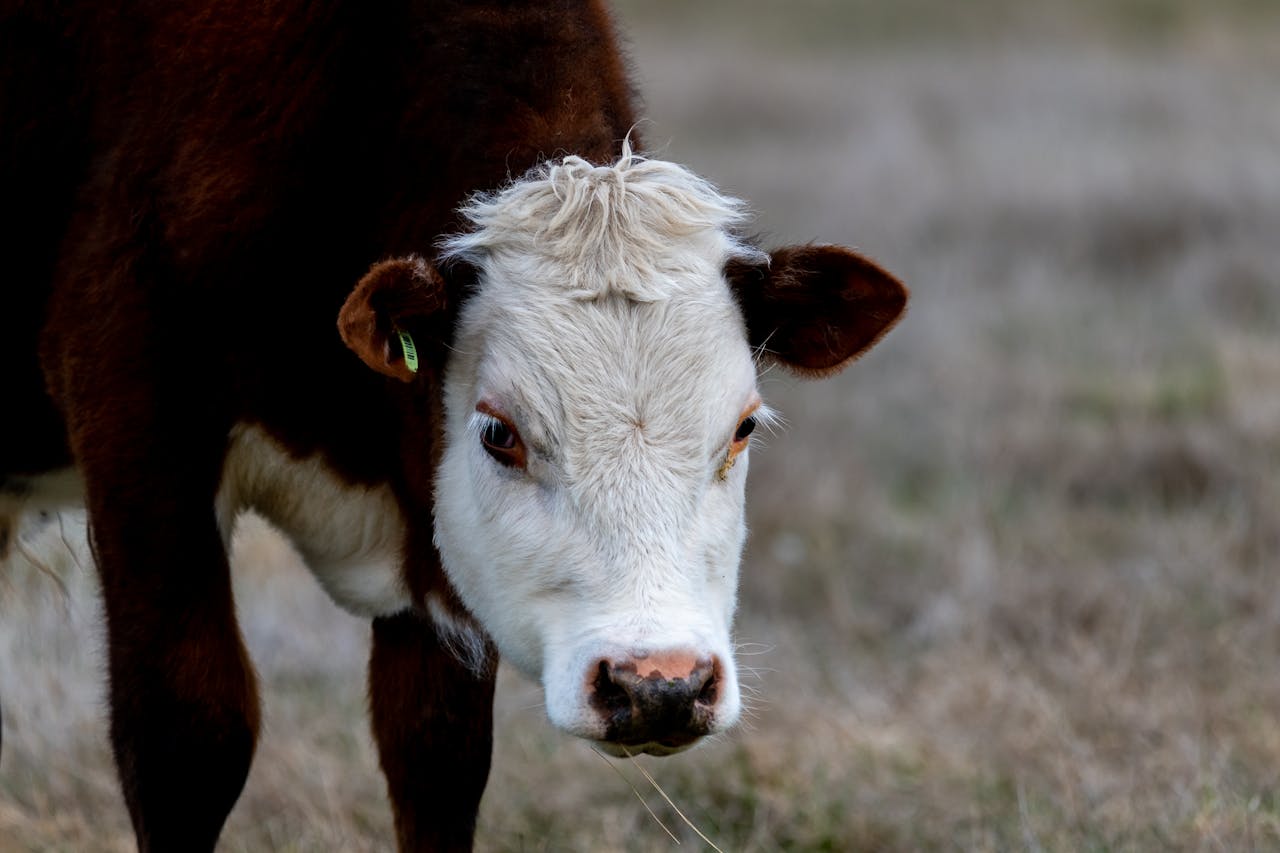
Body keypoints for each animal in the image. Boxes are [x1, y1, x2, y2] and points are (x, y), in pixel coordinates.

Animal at [0, 1, 907, 850]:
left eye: (743, 427)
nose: (661, 684)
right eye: (499, 433)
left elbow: (435, 750)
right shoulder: (143, 434)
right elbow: (187, 733)